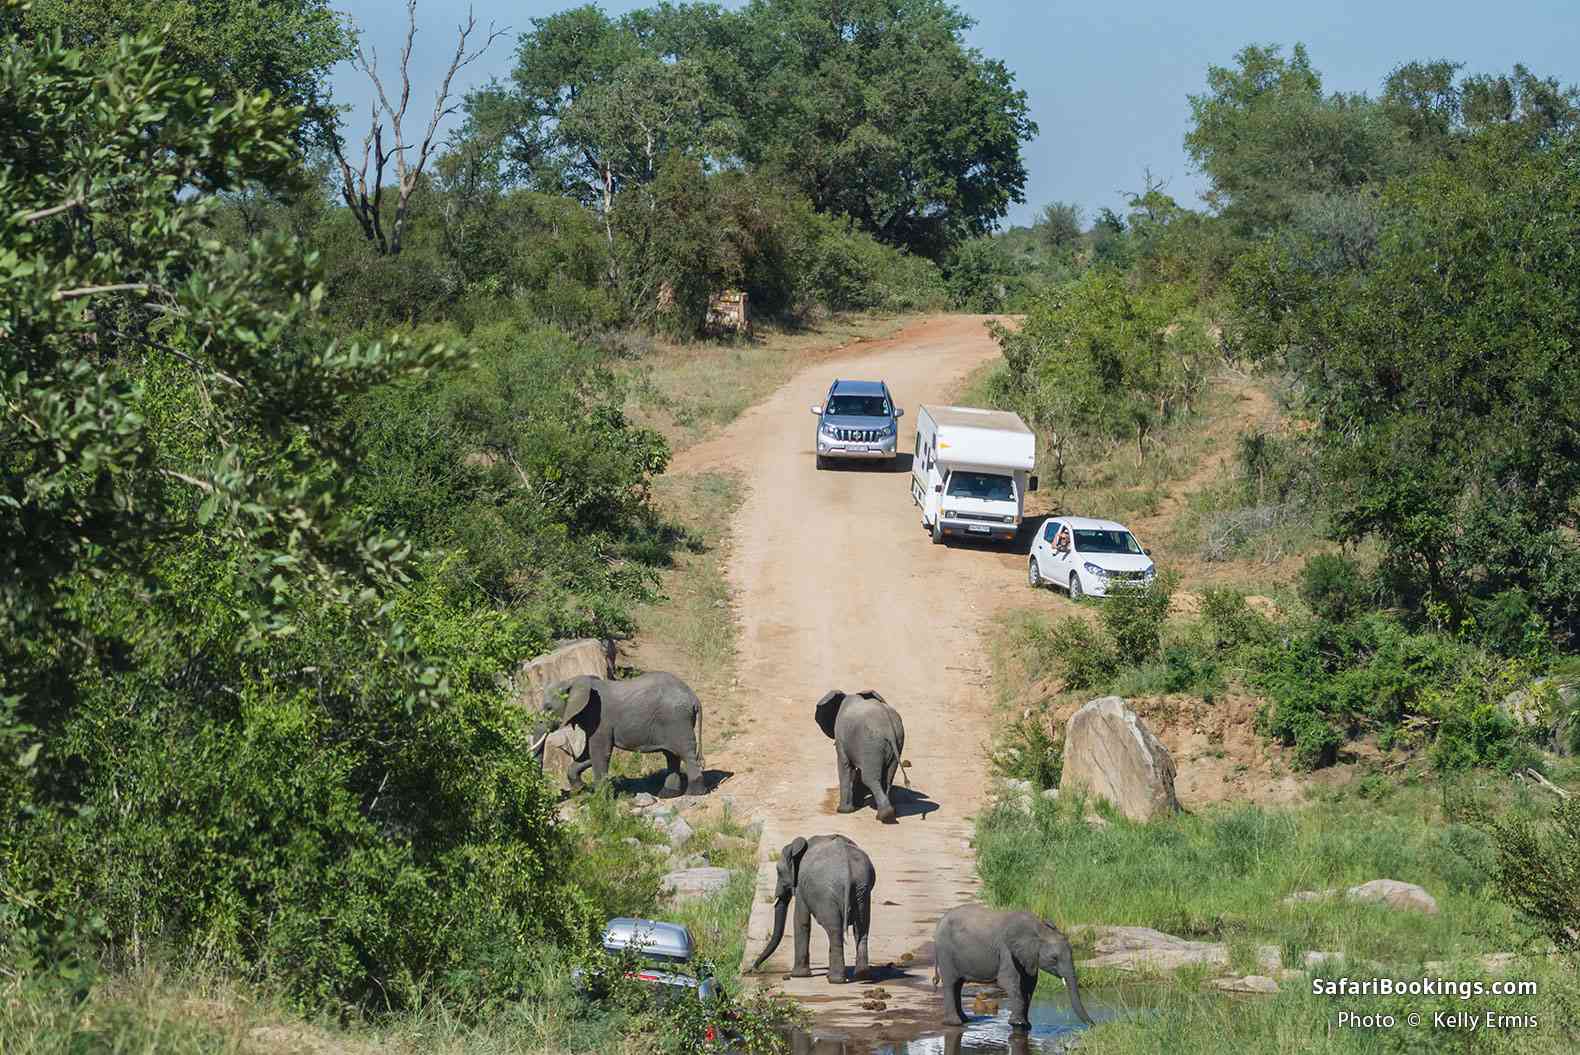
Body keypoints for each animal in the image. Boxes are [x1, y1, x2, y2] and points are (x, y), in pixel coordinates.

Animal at [538, 672, 704, 797]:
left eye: (548, 707)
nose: (561, 792)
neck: (573, 681)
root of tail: (694, 698)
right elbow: (588, 754)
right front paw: (582, 789)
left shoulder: (600, 718)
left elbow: (599, 753)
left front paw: (601, 799)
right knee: (671, 755)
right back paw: (668, 794)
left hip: (677, 720)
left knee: (685, 753)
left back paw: (695, 793)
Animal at [750, 834, 876, 983]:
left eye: (778, 871)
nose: (754, 969)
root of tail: (847, 870)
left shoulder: (801, 886)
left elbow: (801, 921)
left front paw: (798, 975)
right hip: (862, 890)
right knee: (861, 928)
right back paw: (861, 976)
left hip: (825, 893)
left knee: (834, 930)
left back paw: (835, 979)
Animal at [815, 689, 905, 823]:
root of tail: (889, 728)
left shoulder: (842, 738)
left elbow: (845, 766)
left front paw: (843, 811)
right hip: (896, 743)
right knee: (887, 778)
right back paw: (888, 814)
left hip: (871, 744)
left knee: (870, 778)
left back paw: (884, 816)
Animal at [932, 904, 1093, 1030]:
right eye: (1054, 958)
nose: (1094, 1025)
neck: (1039, 929)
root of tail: (939, 923)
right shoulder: (1006, 949)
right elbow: (1008, 981)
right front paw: (1018, 1024)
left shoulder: (1029, 957)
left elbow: (1029, 984)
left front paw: (1026, 1025)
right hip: (945, 951)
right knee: (951, 983)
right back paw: (955, 1023)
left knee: (958, 985)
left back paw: (965, 1020)